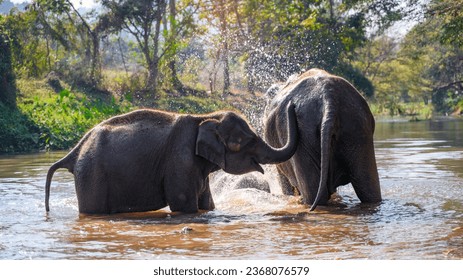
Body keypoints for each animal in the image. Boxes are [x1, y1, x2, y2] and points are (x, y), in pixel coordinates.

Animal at [45, 103, 300, 214]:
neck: (206, 116)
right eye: (244, 142)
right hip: (92, 175)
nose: (292, 104)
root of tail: (75, 150)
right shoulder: (180, 159)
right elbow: (183, 204)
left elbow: (207, 204)